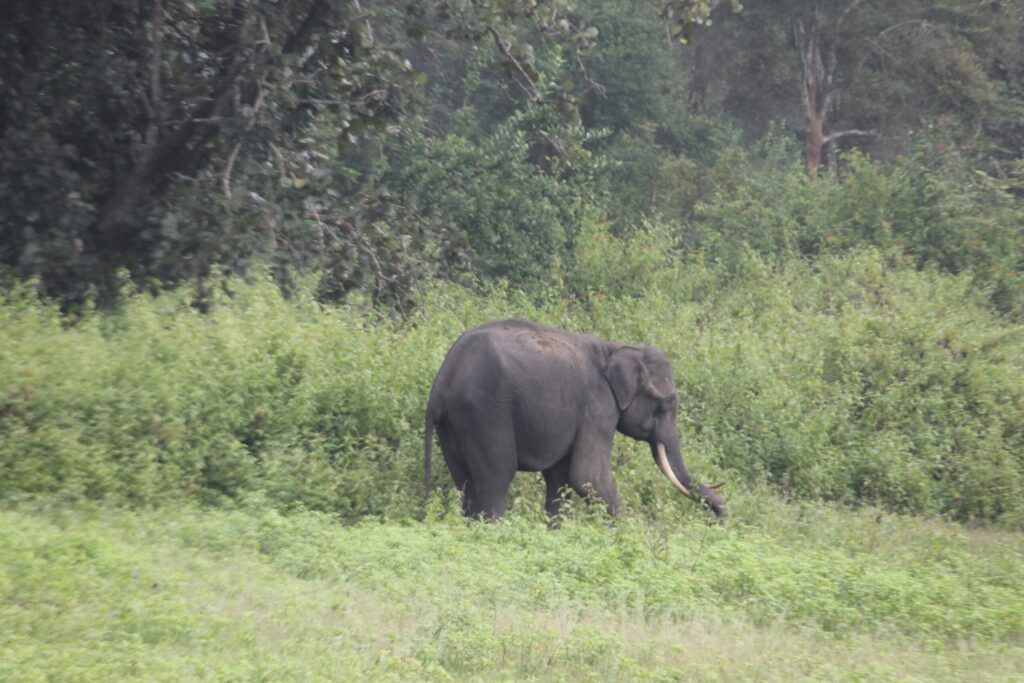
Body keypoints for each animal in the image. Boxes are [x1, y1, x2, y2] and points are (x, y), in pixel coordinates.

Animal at [423, 319, 726, 520]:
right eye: (668, 403)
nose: (722, 515)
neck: (615, 348)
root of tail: (443, 381)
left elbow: (560, 478)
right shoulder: (598, 407)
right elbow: (587, 475)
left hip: (453, 424)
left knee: (464, 482)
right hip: (485, 412)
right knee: (496, 478)